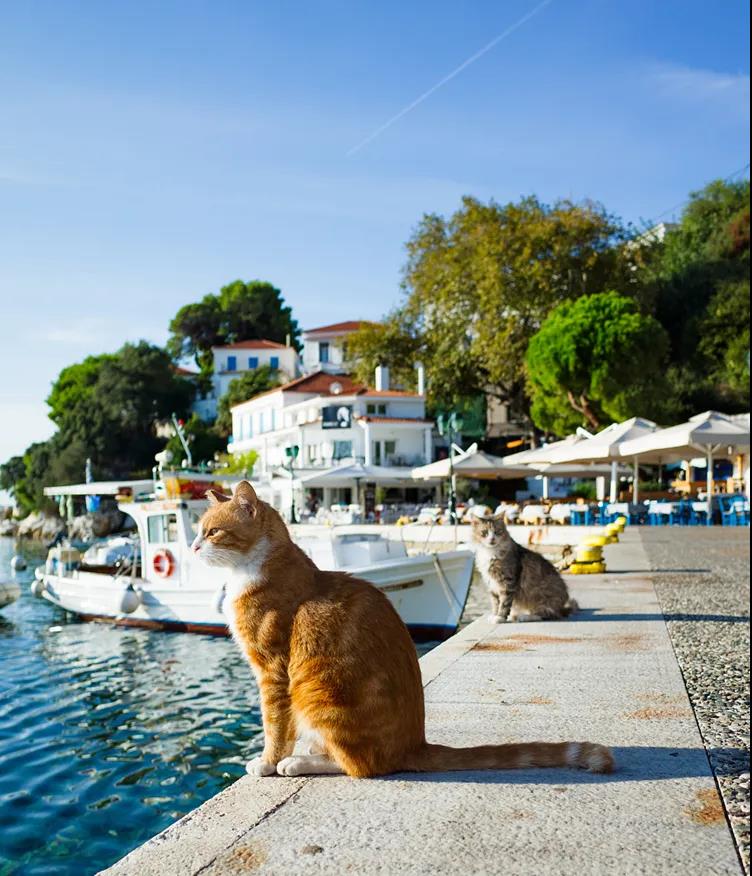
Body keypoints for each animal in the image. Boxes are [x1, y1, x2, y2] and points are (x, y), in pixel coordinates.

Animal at [191, 482, 612, 776]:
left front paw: (266, 761)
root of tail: (415, 744)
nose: (193, 548)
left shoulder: (274, 672)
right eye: (198, 531)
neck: (254, 569)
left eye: (211, 532)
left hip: (316, 691)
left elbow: (275, 727)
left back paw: (300, 763)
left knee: (362, 766)